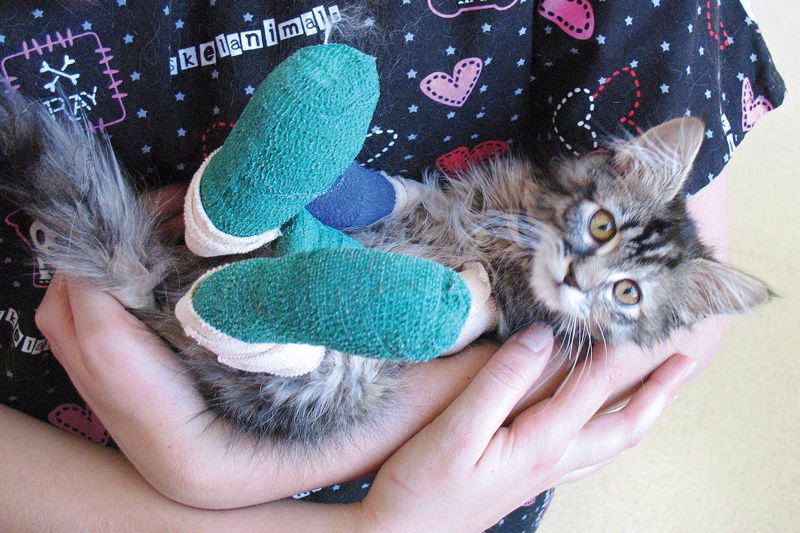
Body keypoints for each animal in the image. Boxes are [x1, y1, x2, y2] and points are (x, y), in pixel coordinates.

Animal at [0, 92, 772, 448]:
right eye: (604, 224)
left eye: (628, 293)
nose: (579, 282)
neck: (524, 230)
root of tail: (166, 291)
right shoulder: (461, 194)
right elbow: (406, 193)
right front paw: (363, 191)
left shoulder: (515, 311)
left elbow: (480, 296)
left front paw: (469, 281)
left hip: (332, 379)